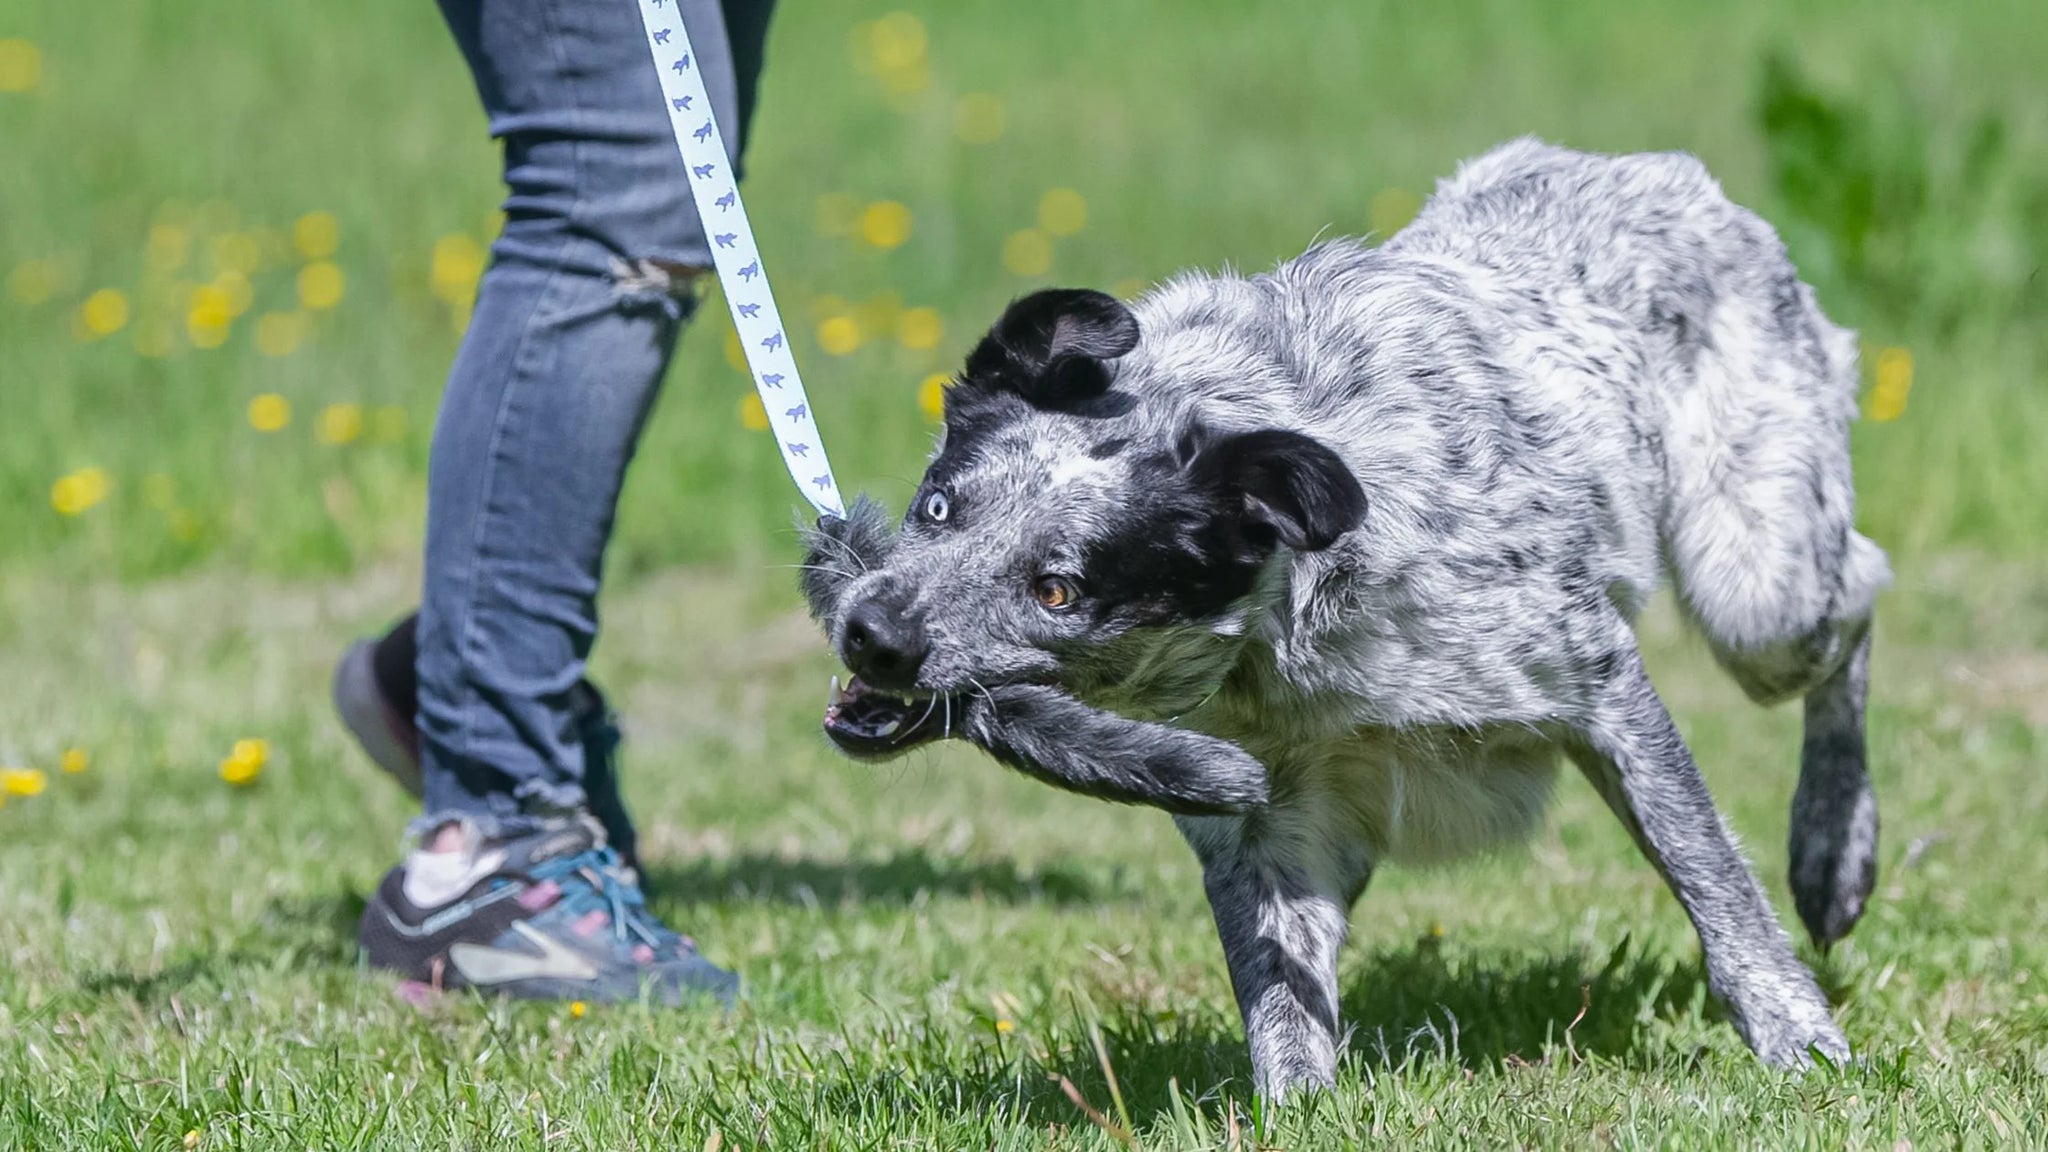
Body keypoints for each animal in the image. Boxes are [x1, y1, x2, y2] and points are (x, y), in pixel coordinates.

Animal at [794, 139, 1884, 1090]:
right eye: (940, 508)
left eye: (1055, 586)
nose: (871, 632)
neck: (1290, 629)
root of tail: (1654, 170)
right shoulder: (1265, 815)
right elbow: (1281, 999)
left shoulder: (1598, 687)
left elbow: (1713, 881)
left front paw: (1800, 1041)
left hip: (1756, 591)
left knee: (1861, 590)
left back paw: (1833, 855)